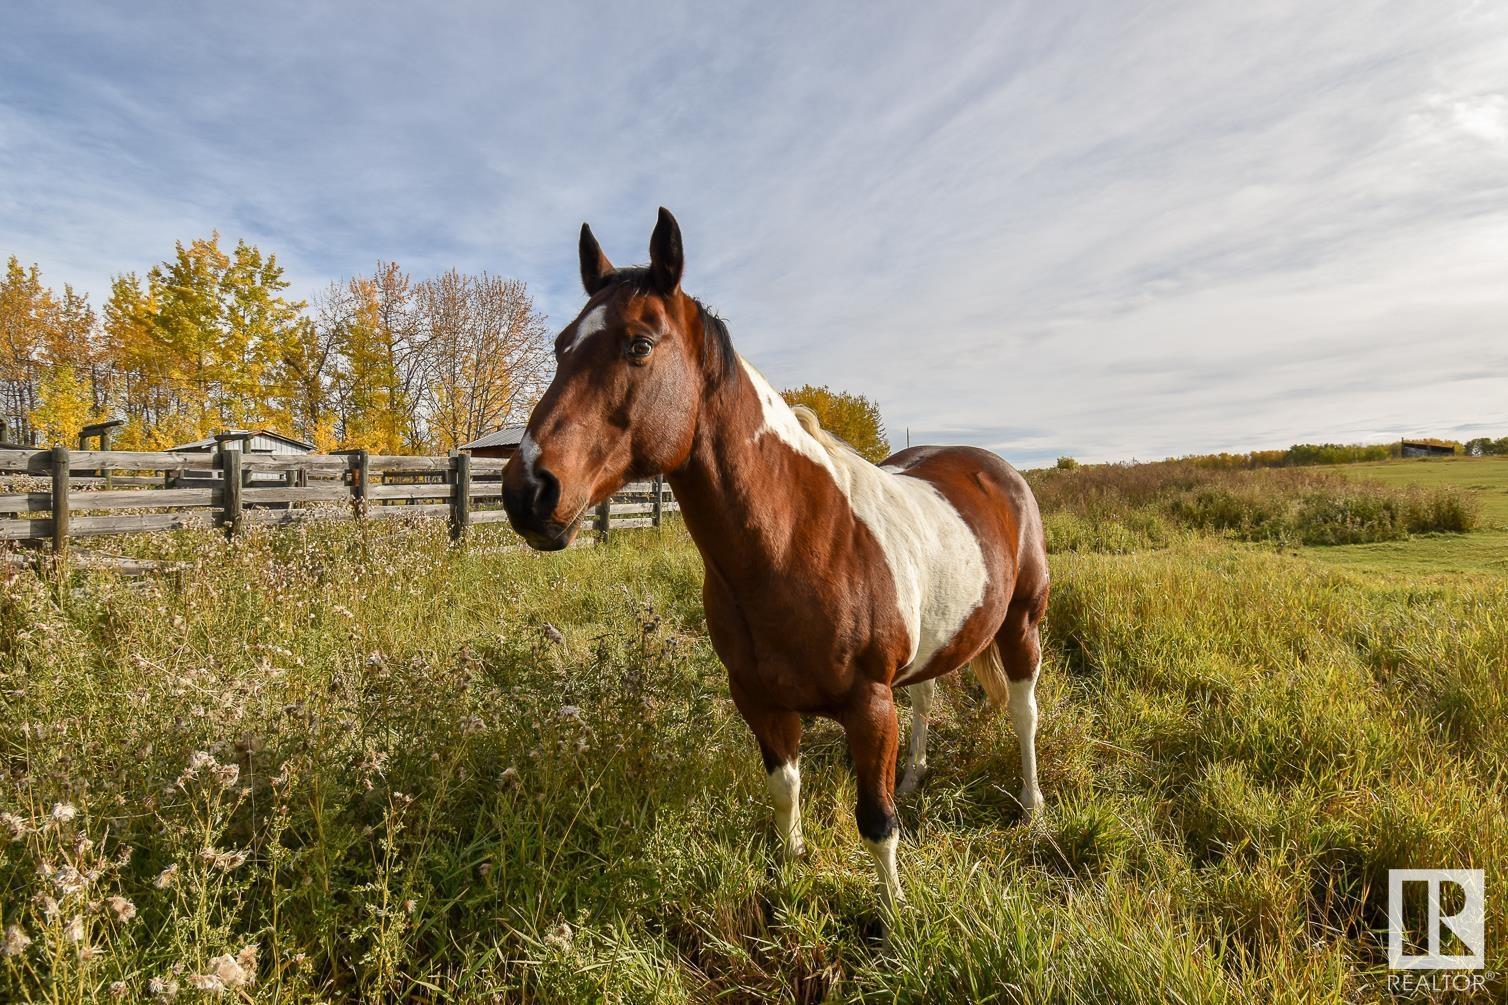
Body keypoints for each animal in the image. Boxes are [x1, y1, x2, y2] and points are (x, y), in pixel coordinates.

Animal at [506, 206, 1049, 905]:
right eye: (560, 346)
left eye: (639, 345)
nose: (527, 491)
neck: (795, 546)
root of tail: (997, 470)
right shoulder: (760, 700)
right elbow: (785, 787)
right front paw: (790, 869)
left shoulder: (870, 707)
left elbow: (876, 821)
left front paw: (895, 910)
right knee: (928, 698)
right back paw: (915, 777)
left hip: (1022, 624)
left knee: (1023, 712)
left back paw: (1032, 806)